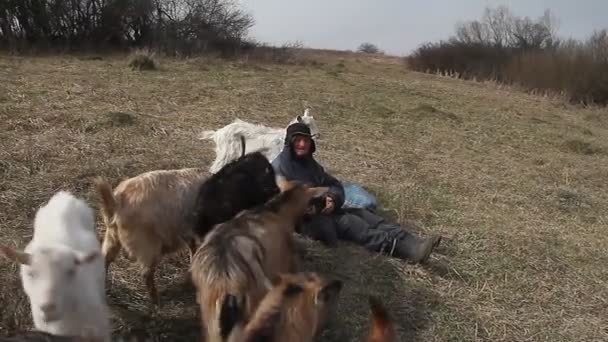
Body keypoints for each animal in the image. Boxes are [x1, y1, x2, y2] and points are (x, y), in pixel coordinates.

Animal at [94, 167, 208, 306]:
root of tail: (117, 201)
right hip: (147, 245)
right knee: (146, 273)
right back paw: (156, 301)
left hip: (112, 236)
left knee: (105, 259)